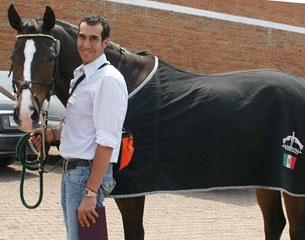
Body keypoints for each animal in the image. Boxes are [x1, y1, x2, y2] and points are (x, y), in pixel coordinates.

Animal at [7, 4, 304, 240]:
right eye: (14, 56)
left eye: (50, 57)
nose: (26, 114)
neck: (122, 80)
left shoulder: (130, 189)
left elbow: (134, 232)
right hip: (265, 177)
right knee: (274, 222)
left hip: (292, 185)